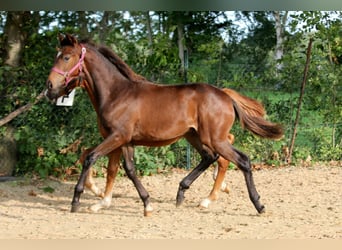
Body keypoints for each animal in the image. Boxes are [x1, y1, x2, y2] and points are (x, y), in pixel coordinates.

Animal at [44, 34, 284, 216]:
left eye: (66, 57)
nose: (49, 87)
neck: (116, 94)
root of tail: (225, 95)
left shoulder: (117, 137)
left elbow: (92, 158)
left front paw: (77, 199)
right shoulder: (123, 140)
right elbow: (122, 169)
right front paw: (135, 203)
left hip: (214, 138)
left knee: (242, 160)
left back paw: (257, 205)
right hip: (194, 136)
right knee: (210, 158)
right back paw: (186, 194)